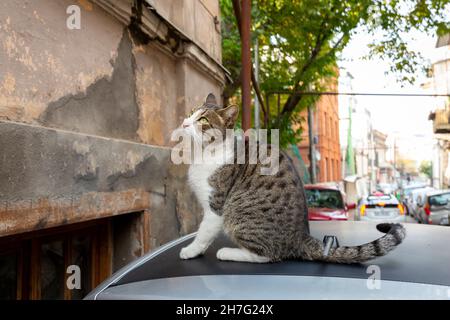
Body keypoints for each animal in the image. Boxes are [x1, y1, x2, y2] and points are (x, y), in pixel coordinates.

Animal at [178, 92, 406, 262]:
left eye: (203, 120)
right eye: (190, 113)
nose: (184, 123)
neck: (202, 154)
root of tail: (301, 237)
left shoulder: (215, 206)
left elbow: (203, 233)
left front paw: (190, 250)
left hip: (238, 213)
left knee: (268, 254)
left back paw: (229, 253)